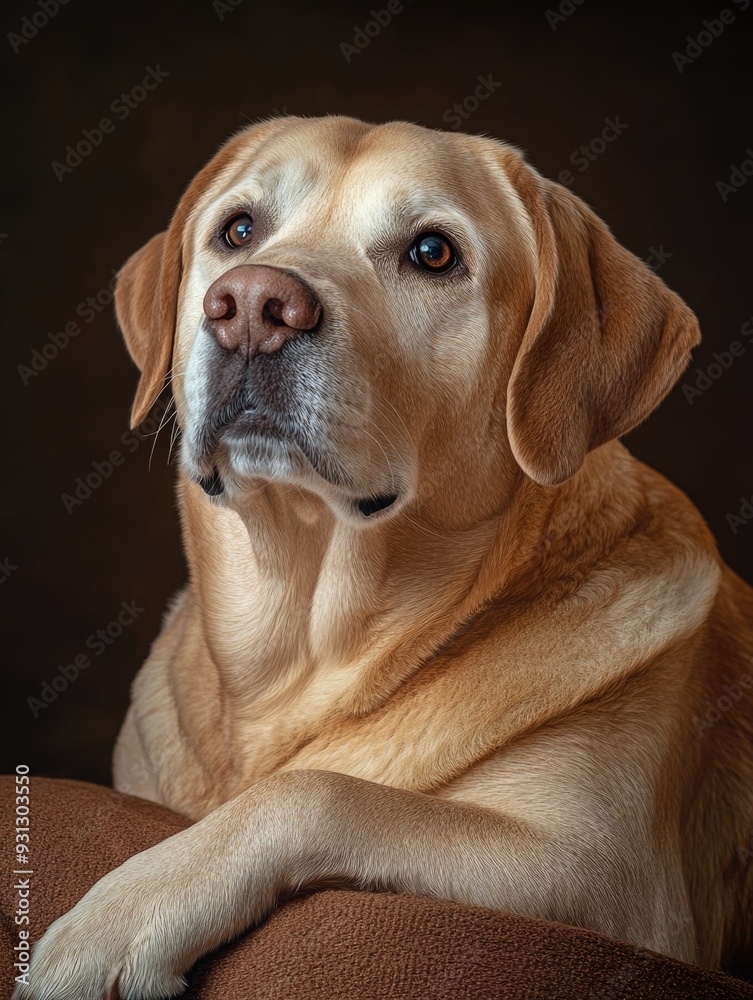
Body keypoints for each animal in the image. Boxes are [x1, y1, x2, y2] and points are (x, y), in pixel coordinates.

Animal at [19, 115, 752, 992]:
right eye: (238, 231)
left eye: (433, 252)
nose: (251, 306)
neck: (306, 646)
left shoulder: (613, 881)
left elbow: (318, 791)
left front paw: (122, 916)